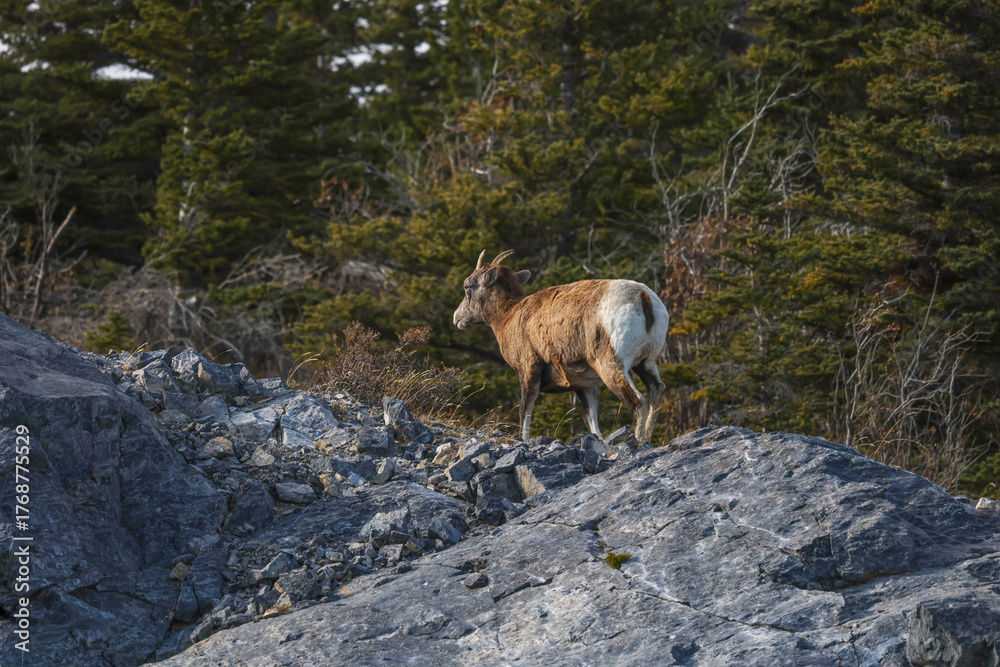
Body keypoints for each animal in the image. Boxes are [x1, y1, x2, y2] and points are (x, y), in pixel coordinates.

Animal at [453, 249, 669, 444]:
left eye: (467, 286)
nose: (456, 318)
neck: (509, 316)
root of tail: (642, 297)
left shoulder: (529, 370)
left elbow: (525, 410)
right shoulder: (585, 385)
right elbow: (591, 421)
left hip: (612, 366)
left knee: (638, 401)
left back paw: (639, 441)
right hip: (645, 363)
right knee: (656, 390)